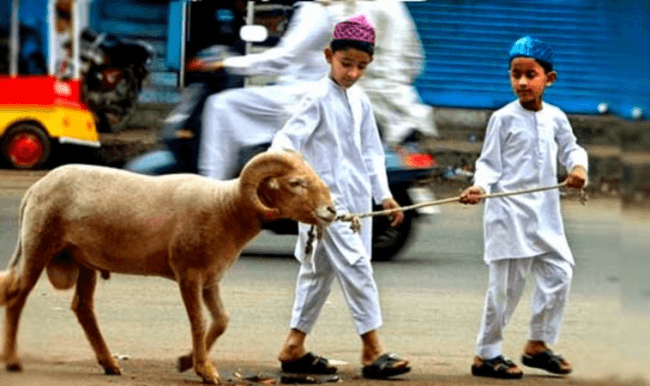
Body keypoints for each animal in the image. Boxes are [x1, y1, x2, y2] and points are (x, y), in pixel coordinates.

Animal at [0, 150, 334, 382]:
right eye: (295, 183)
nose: (331, 210)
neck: (225, 207)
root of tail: (34, 190)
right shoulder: (188, 273)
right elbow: (199, 322)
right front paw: (204, 370)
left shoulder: (211, 278)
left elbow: (221, 321)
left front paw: (186, 361)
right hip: (39, 245)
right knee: (17, 298)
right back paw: (13, 360)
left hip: (84, 261)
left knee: (82, 308)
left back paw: (109, 363)